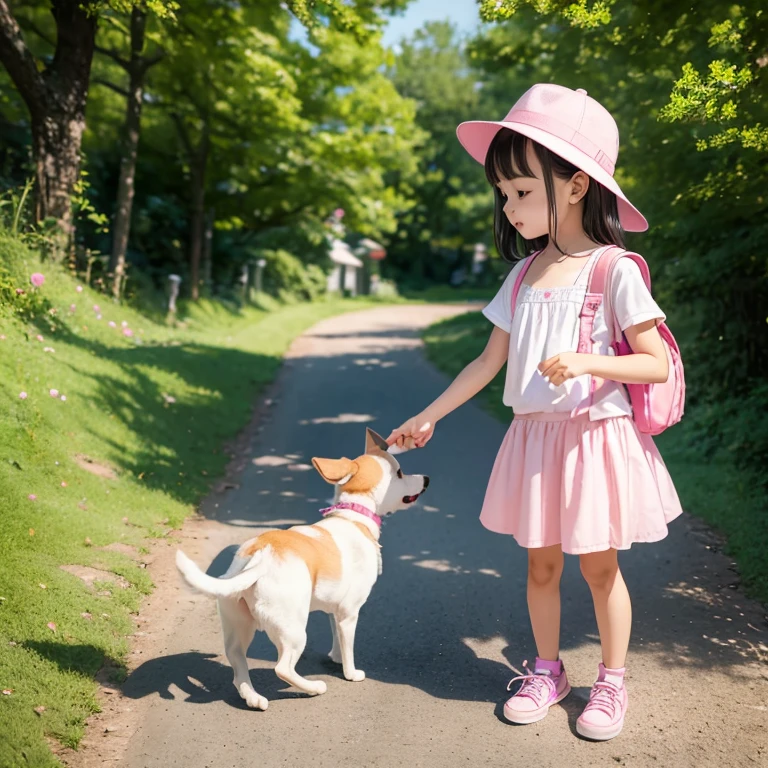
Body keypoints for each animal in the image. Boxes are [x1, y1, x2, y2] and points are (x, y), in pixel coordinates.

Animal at [175, 426, 428, 708]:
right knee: (282, 668)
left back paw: (252, 697)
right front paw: (351, 673)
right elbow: (349, 647)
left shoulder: (335, 611)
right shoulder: (349, 613)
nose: (426, 479)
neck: (353, 516)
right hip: (294, 630)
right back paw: (313, 687)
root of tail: (260, 554)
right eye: (400, 472)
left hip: (239, 625)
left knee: (237, 661)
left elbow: (337, 638)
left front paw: (335, 657)